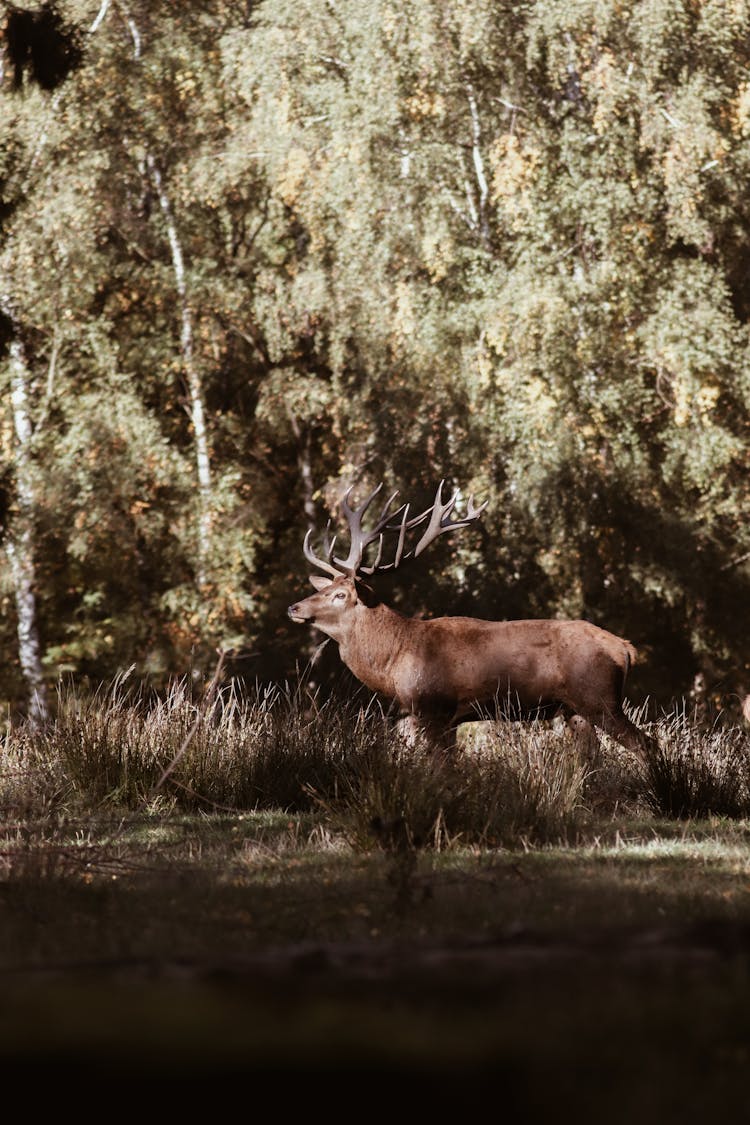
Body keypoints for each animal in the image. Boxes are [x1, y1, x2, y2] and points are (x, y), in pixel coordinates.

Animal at [290, 479, 656, 760]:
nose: (294, 607)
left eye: (341, 595)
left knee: (644, 743)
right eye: (326, 588)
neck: (395, 659)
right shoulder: (444, 718)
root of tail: (625, 648)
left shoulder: (434, 707)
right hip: (573, 708)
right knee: (591, 755)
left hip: (600, 698)